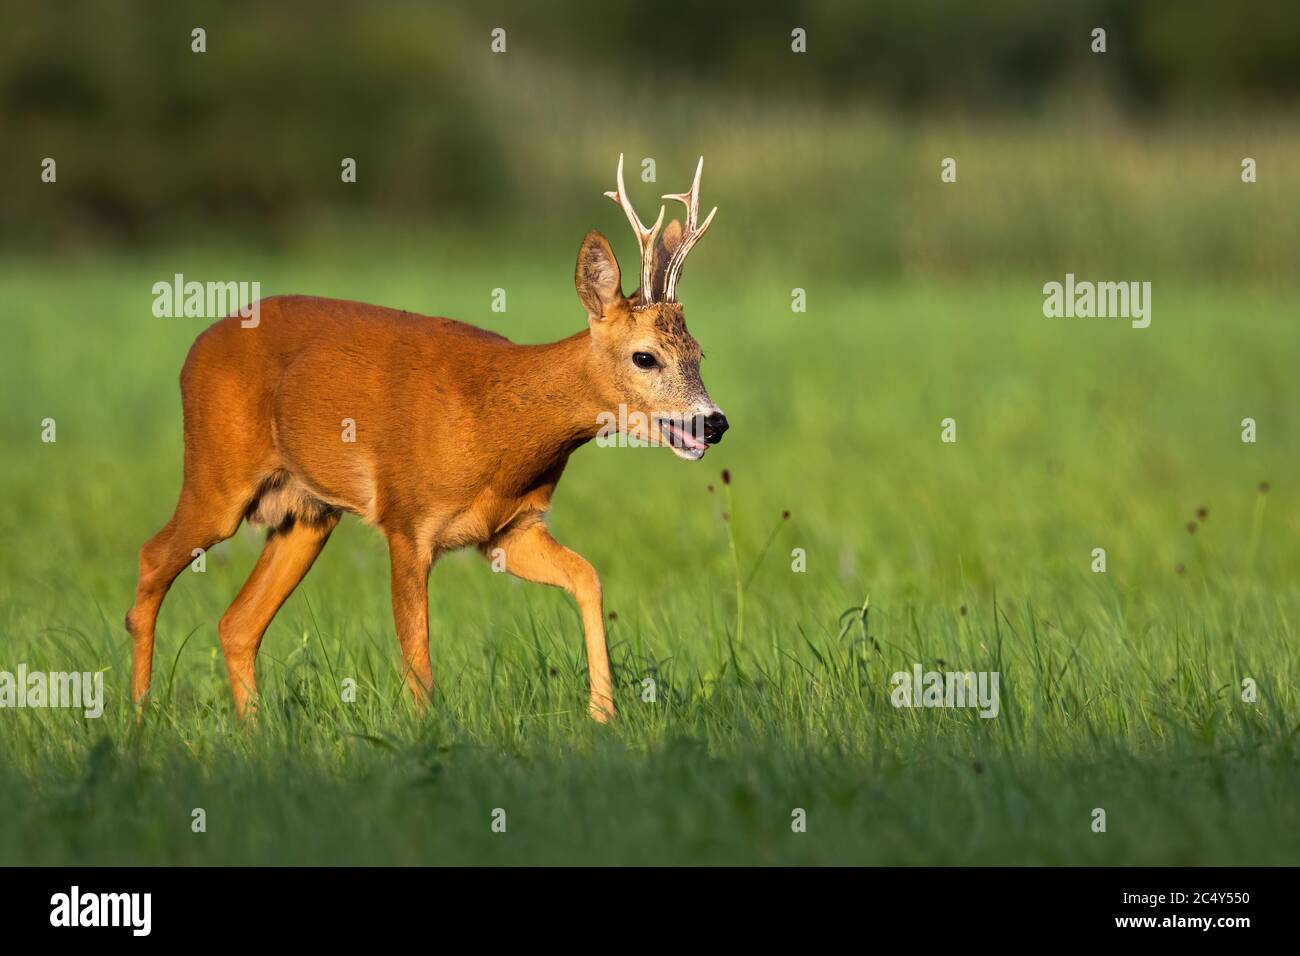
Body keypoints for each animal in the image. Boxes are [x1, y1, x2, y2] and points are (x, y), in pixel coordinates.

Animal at [125, 155, 728, 723]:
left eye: (700, 353)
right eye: (645, 357)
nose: (714, 422)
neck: (495, 429)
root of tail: (195, 348)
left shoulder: (509, 530)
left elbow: (589, 577)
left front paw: (602, 715)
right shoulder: (406, 519)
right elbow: (417, 646)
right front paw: (427, 733)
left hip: (307, 513)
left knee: (237, 623)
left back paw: (251, 732)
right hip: (217, 475)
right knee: (153, 558)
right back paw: (138, 718)